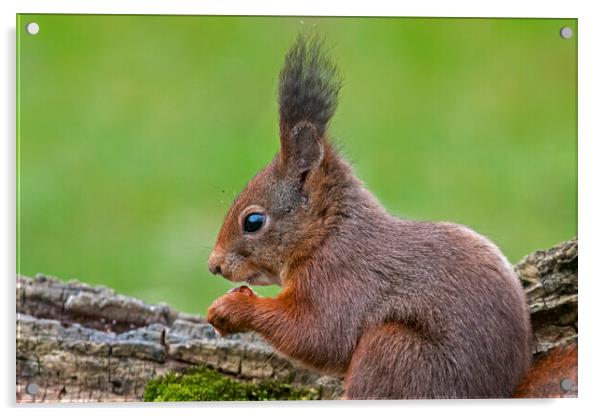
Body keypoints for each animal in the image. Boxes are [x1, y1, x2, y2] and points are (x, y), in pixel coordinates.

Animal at [206, 35, 528, 400]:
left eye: (253, 222)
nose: (214, 265)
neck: (327, 235)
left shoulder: (341, 281)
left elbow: (317, 334)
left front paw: (231, 308)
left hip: (393, 350)